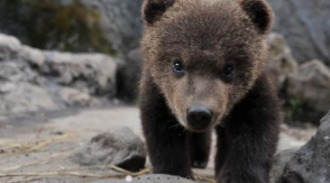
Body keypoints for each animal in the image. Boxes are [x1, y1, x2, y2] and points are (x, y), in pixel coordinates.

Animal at [138, 0, 280, 182]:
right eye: (177, 64)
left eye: (228, 68)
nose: (199, 113)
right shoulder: (160, 92)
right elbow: (160, 129)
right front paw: (175, 171)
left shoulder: (251, 93)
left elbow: (257, 129)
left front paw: (239, 175)